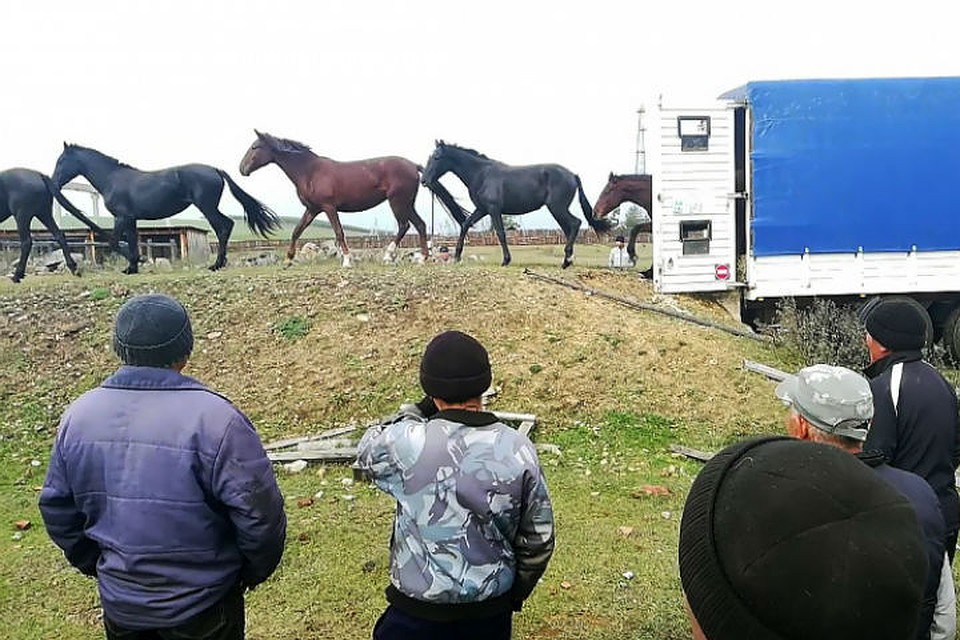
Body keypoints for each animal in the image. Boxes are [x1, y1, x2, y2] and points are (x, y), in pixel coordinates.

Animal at [51, 144, 282, 274]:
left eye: (61, 161)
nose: (53, 182)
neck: (112, 179)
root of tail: (215, 170)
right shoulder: (131, 219)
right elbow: (132, 241)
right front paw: (132, 267)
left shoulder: (121, 217)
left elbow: (114, 242)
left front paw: (138, 261)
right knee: (227, 225)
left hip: (207, 207)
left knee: (224, 227)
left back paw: (216, 264)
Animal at [238, 131, 466, 266]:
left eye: (255, 147)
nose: (242, 169)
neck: (310, 171)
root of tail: (413, 165)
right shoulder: (312, 209)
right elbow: (296, 231)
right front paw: (288, 259)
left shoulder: (328, 207)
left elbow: (339, 232)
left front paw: (347, 260)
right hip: (406, 203)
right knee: (419, 224)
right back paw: (421, 257)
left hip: (398, 202)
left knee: (406, 225)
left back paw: (393, 255)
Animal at [420, 141, 616, 268]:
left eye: (436, 157)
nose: (424, 181)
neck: (481, 174)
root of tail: (572, 175)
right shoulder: (482, 209)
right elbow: (465, 224)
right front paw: (457, 257)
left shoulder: (493, 209)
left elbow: (501, 233)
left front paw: (506, 260)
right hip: (558, 210)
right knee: (570, 228)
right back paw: (569, 260)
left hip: (557, 208)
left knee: (575, 224)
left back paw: (566, 262)